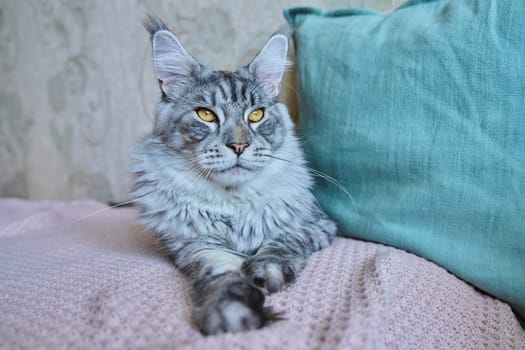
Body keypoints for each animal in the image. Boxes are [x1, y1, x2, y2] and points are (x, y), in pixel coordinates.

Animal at [131, 17, 336, 334]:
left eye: (256, 115)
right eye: (205, 114)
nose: (239, 146)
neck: (233, 204)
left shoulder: (317, 224)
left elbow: (283, 241)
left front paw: (266, 271)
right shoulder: (197, 245)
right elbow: (222, 277)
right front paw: (233, 313)